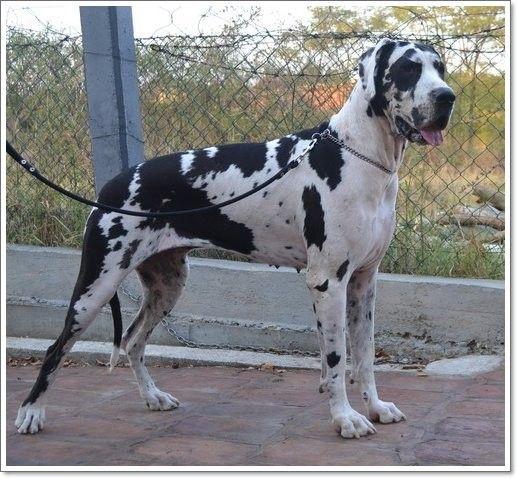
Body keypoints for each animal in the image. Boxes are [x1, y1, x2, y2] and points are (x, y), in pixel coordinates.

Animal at [15, 38, 455, 438]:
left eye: (441, 67)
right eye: (407, 68)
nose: (447, 97)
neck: (360, 154)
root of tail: (111, 186)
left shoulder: (364, 282)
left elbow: (363, 357)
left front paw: (376, 408)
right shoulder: (328, 281)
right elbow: (336, 358)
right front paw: (345, 418)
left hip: (167, 285)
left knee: (133, 340)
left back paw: (153, 397)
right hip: (96, 287)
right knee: (57, 349)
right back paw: (32, 413)